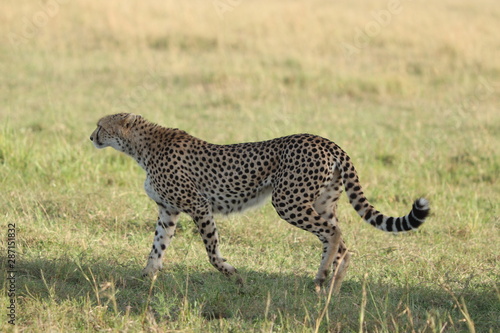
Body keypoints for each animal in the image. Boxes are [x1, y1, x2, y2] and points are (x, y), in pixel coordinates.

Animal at [90, 113, 430, 290]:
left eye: (101, 125)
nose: (91, 137)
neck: (141, 147)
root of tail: (327, 141)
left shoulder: (199, 206)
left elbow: (211, 250)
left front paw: (231, 273)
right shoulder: (168, 210)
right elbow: (157, 247)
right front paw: (146, 277)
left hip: (288, 200)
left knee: (334, 234)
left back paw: (322, 276)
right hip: (320, 203)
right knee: (341, 241)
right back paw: (331, 284)